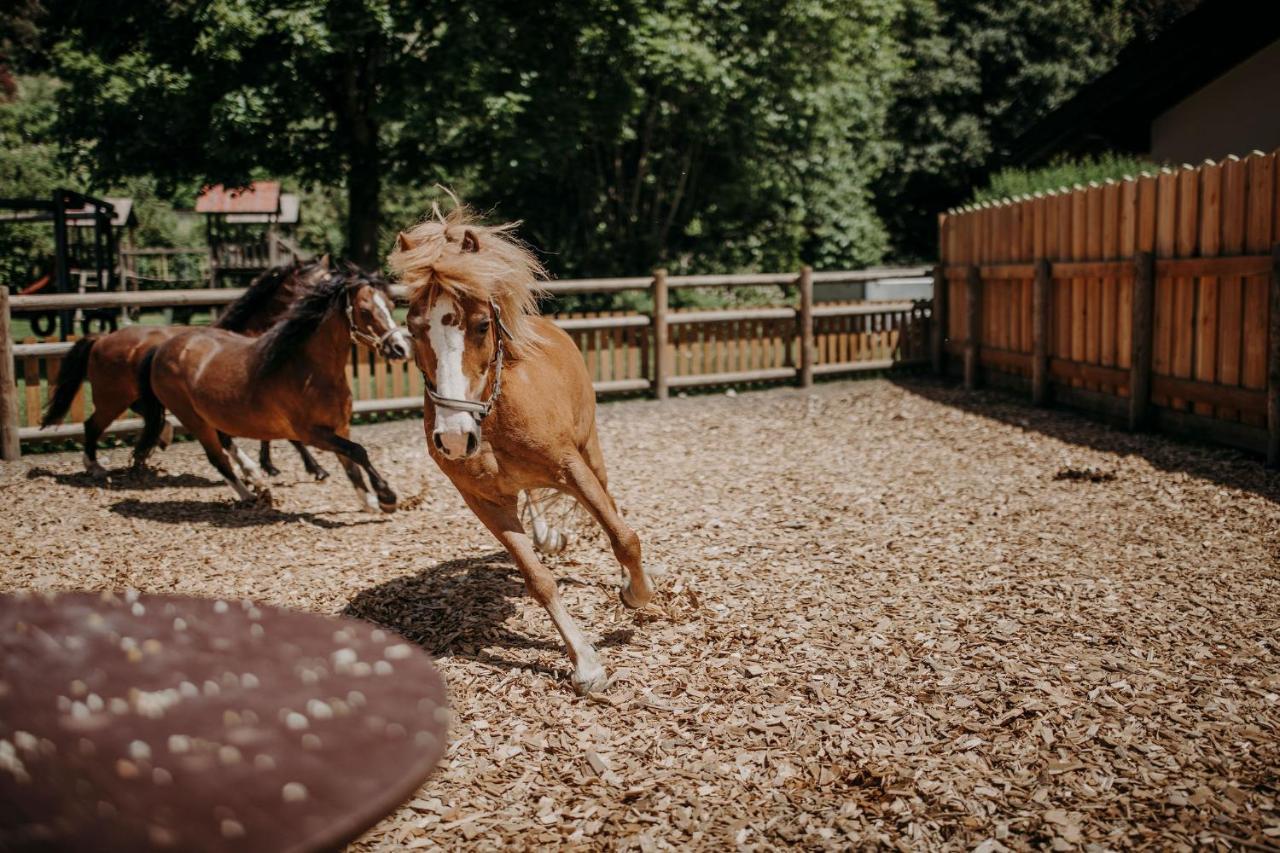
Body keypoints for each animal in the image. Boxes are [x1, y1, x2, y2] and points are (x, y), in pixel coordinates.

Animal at [43, 257, 335, 479]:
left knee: (147, 416)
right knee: (92, 425)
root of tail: (100, 339)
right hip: (111, 399)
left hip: (134, 396)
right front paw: (315, 469)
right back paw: (96, 467)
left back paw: (156, 441)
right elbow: (288, 435)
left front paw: (269, 466)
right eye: (312, 283)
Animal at [135, 262, 407, 507]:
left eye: (392, 305)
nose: (400, 348)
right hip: (194, 420)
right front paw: (386, 496)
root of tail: (161, 349)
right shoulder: (311, 433)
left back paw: (255, 478)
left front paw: (368, 501)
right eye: (365, 311)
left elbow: (351, 463)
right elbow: (357, 451)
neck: (310, 371)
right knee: (218, 458)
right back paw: (251, 494)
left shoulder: (340, 427)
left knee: (224, 444)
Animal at [389, 204, 655, 691]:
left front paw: (636, 592)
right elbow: (537, 579)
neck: (492, 414)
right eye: (414, 329)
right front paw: (585, 663)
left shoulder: (572, 468)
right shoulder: (485, 501)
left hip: (591, 451)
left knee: (611, 505)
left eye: (480, 326)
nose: (453, 437)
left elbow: (623, 538)